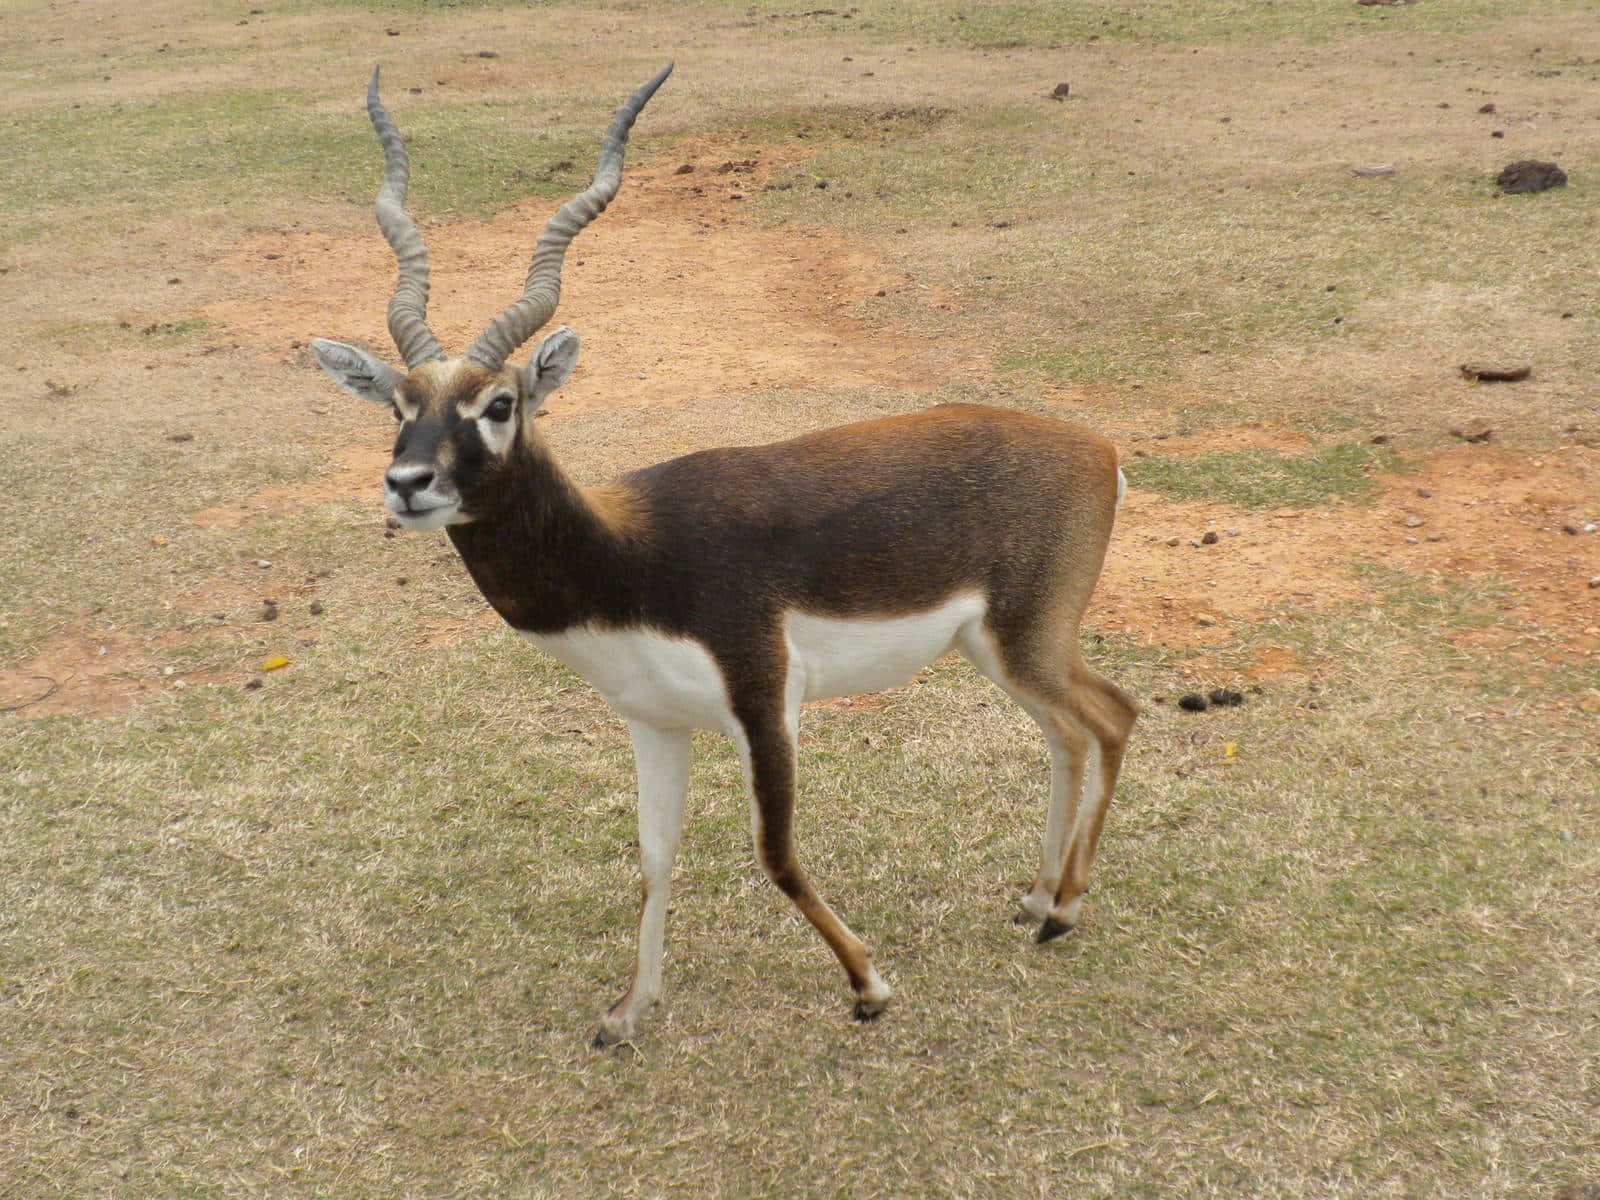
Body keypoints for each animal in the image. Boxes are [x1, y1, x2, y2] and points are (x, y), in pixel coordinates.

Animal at [310, 63, 1138, 1046]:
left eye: (500, 404)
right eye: (399, 405)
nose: (407, 483)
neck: (627, 560)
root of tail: (1098, 449)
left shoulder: (764, 700)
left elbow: (775, 853)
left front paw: (868, 985)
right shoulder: (653, 720)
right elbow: (653, 857)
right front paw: (631, 1010)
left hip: (1026, 637)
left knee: (1112, 715)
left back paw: (1064, 910)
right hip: (992, 647)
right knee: (1066, 732)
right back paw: (1042, 901)